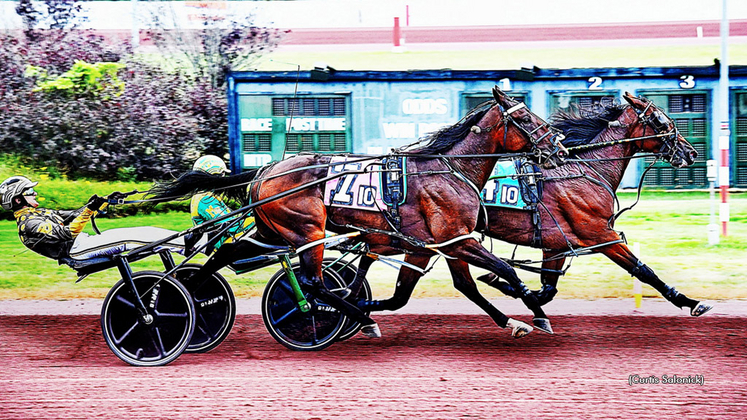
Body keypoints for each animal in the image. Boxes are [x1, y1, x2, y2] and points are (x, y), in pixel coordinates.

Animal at [152, 88, 568, 338]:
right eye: (526, 119)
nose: (560, 147)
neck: (448, 169)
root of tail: (265, 170)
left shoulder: (438, 244)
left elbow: (459, 287)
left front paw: (513, 317)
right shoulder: (458, 241)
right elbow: (506, 272)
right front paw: (533, 311)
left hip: (271, 230)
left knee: (226, 251)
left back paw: (189, 293)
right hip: (309, 231)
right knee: (314, 283)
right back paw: (357, 315)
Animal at [480, 91, 712, 316]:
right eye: (660, 120)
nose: (690, 152)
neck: (585, 172)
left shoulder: (555, 243)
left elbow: (547, 289)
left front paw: (503, 284)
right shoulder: (600, 235)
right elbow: (643, 270)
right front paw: (691, 302)